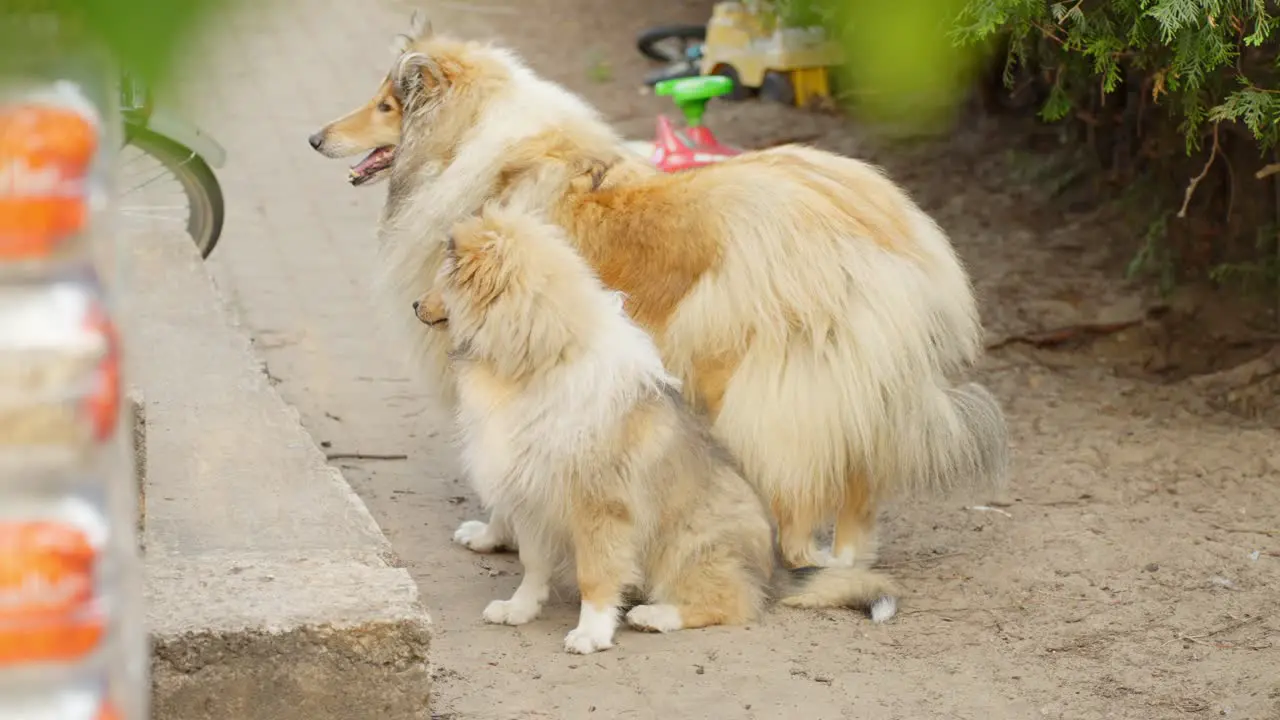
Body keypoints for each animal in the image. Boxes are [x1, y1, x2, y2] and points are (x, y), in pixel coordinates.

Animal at [309, 12, 1008, 566]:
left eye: (387, 105)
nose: (315, 137)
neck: (468, 147)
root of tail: (891, 226)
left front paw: (494, 533)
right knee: (858, 476)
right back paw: (846, 558)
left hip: (757, 377)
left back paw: (791, 551)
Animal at [414, 203, 896, 655]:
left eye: (445, 279)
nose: (417, 305)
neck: (537, 363)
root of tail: (774, 571)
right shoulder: (530, 493)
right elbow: (533, 564)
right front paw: (518, 609)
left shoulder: (600, 507)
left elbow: (595, 575)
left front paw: (591, 634)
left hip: (688, 544)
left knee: (730, 601)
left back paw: (654, 615)